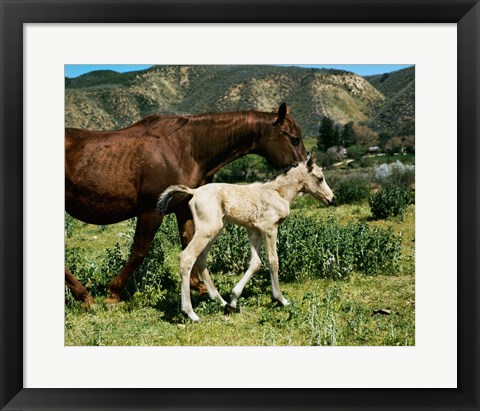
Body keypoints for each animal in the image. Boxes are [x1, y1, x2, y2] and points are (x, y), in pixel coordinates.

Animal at [64, 103, 308, 308]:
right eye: (294, 138)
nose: (306, 166)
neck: (185, 148)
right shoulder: (151, 211)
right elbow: (140, 251)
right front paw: (114, 292)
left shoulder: (183, 207)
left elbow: (188, 242)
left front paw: (198, 286)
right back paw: (85, 297)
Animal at [158, 154, 334, 322]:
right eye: (320, 178)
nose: (332, 199)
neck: (277, 193)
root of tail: (194, 192)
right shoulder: (269, 228)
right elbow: (273, 261)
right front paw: (281, 299)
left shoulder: (254, 231)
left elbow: (256, 263)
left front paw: (233, 300)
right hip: (207, 230)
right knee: (187, 257)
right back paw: (190, 313)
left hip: (215, 230)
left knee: (201, 258)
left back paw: (221, 301)